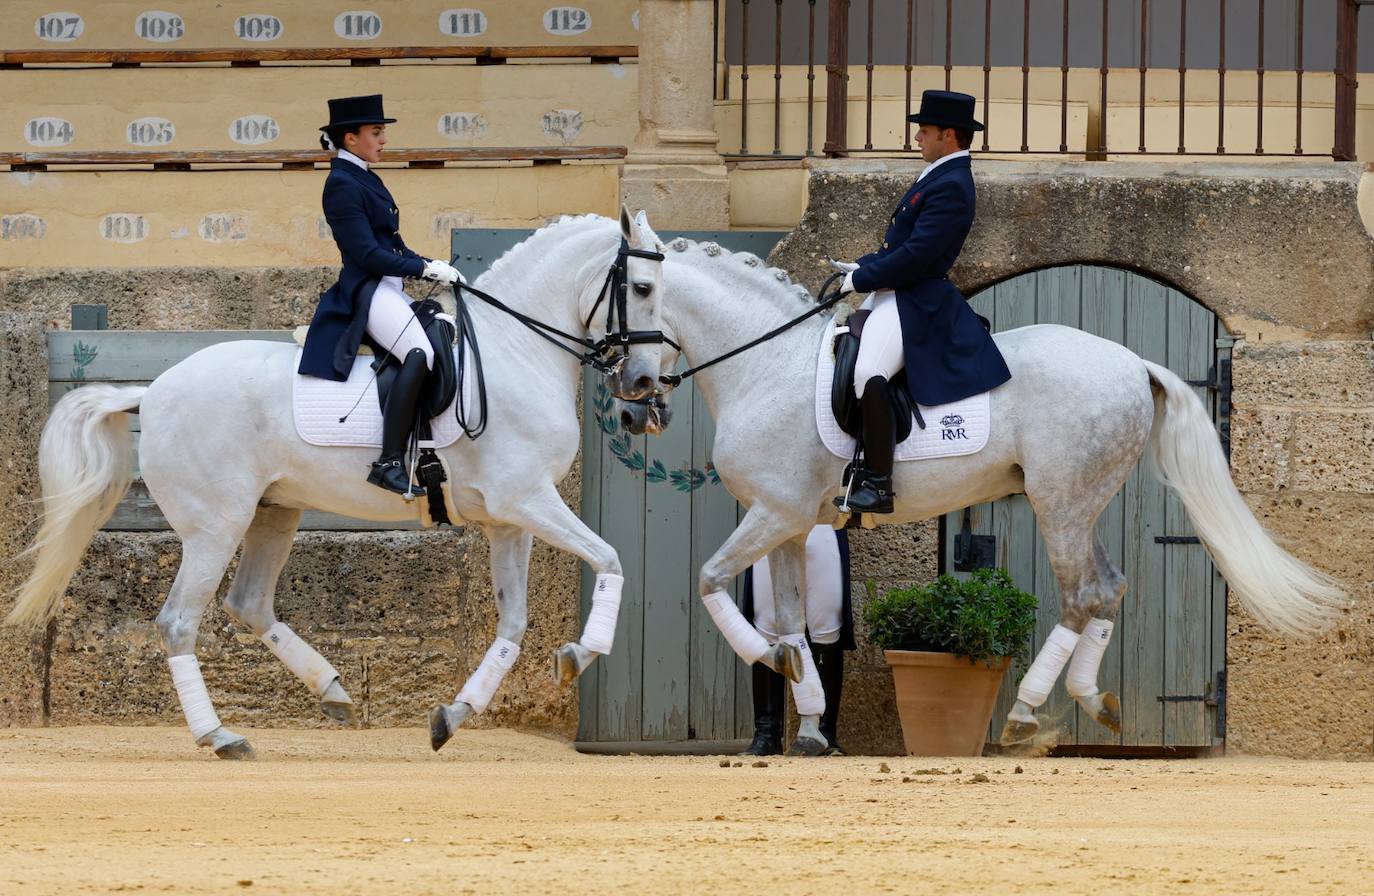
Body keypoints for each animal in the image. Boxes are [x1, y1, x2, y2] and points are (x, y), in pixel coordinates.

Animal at [5, 210, 791, 758]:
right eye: (645, 288)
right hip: (215, 525)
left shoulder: (509, 519)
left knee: (249, 604)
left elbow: (512, 625)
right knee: (178, 621)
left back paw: (333, 691)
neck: (516, 352)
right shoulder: (528, 501)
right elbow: (611, 560)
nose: (644, 395)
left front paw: (452, 716)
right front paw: (578, 655)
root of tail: (152, 389)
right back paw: (221, 736)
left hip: (273, 514)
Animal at [626, 232, 1352, 758]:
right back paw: (1095, 701)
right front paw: (803, 718)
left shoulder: (775, 513)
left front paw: (773, 665)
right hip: (1079, 501)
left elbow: (712, 580)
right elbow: (790, 623)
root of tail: (1132, 362)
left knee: (1083, 593)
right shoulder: (792, 524)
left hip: (1060, 502)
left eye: (636, 289)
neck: (768, 368)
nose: (634, 402)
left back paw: (1027, 714)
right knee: (1108, 587)